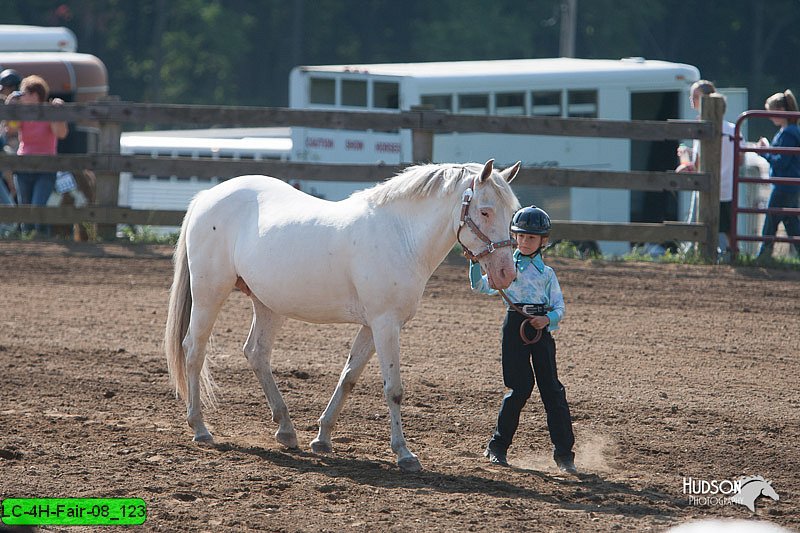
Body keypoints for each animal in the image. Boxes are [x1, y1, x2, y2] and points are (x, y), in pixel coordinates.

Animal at [166, 159, 520, 470]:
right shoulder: (386, 324)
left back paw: (286, 430)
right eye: (485, 211)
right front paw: (404, 454)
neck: (401, 234)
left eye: (511, 213)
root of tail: (206, 197)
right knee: (194, 350)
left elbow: (348, 378)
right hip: (209, 293)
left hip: (267, 304)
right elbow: (393, 389)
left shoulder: (372, 326)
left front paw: (322, 438)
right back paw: (200, 428)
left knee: (256, 353)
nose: (506, 274)